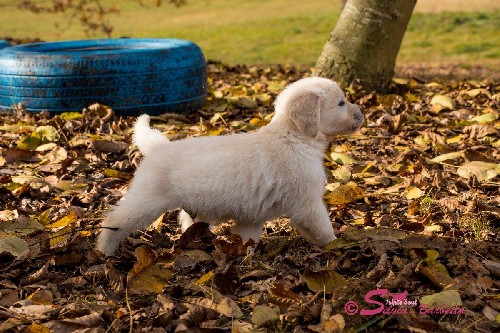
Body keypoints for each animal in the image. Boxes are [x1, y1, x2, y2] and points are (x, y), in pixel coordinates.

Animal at [96, 77, 364, 254]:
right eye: (341, 103)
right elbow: (323, 229)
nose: (361, 110)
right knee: (115, 220)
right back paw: (104, 251)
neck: (293, 138)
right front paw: (337, 244)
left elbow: (246, 239)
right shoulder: (308, 204)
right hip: (146, 200)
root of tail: (159, 147)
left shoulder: (253, 217)